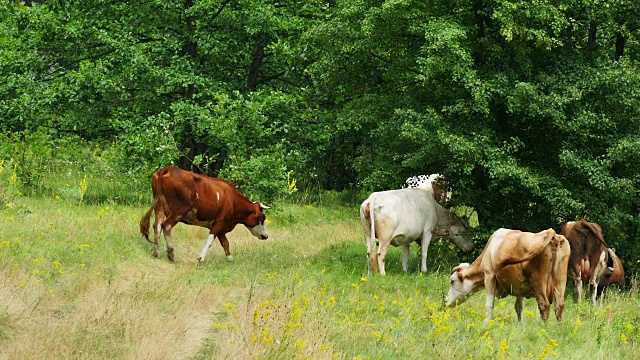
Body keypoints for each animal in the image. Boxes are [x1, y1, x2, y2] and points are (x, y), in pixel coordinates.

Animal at [140, 166, 270, 262]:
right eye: (263, 218)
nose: (266, 236)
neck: (233, 200)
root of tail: (168, 169)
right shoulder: (220, 222)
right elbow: (210, 240)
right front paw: (201, 259)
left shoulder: (220, 226)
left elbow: (225, 243)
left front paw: (230, 260)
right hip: (179, 209)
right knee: (166, 226)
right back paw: (171, 254)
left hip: (159, 206)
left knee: (157, 226)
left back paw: (156, 253)